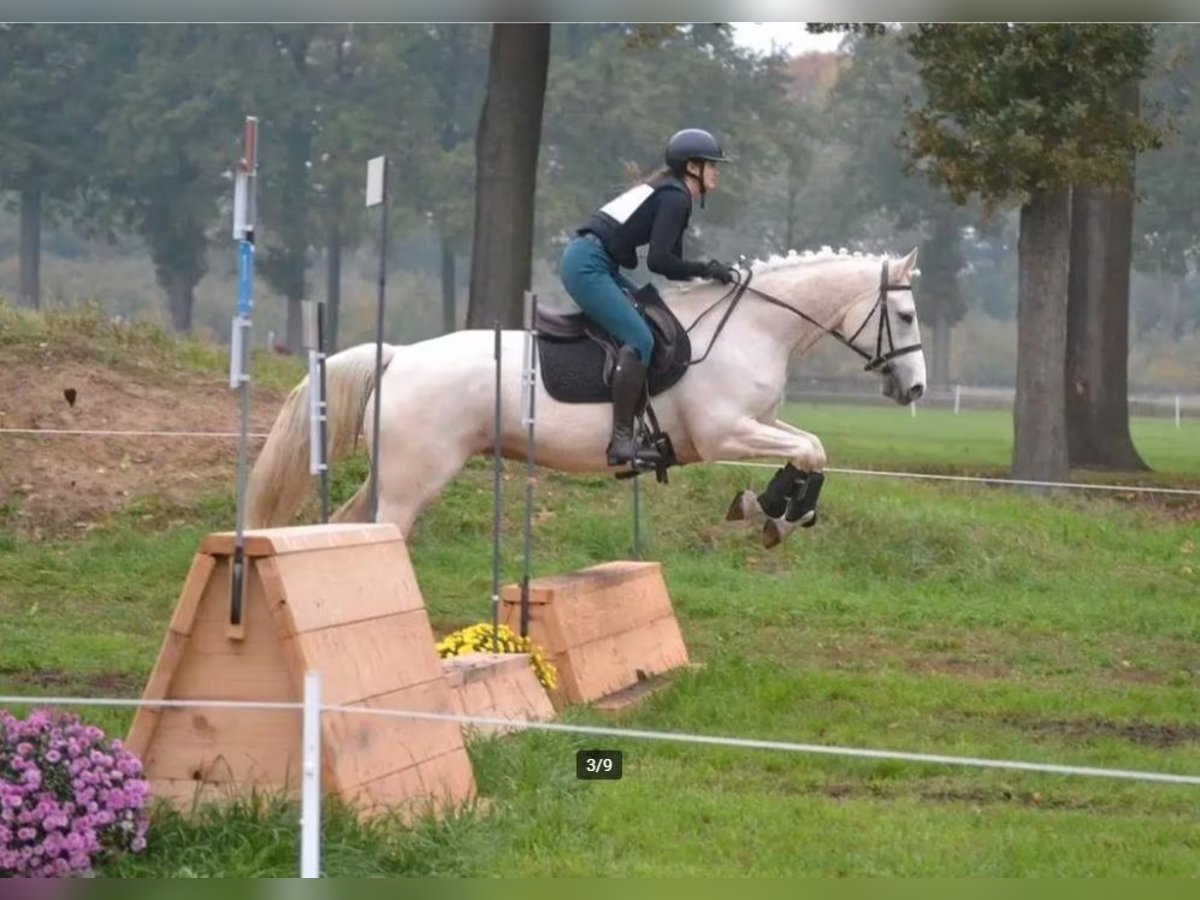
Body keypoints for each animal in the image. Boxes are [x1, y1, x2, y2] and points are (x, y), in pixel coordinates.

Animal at [245, 246, 926, 548]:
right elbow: (811, 450)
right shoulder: (724, 432)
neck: (754, 325)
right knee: (384, 529)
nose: (915, 387)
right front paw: (772, 509)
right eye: (907, 315)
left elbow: (811, 448)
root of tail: (399, 354)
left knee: (348, 526)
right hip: (415, 478)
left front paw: (775, 509)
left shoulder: (758, 422)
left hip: (392, 471)